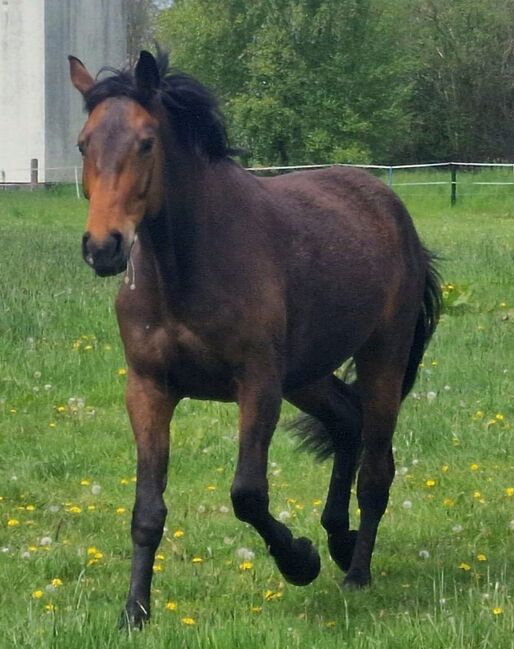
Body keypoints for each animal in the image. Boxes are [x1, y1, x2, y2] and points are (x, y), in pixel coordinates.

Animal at [68, 50, 440, 628]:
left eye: (146, 142)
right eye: (85, 143)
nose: (103, 248)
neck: (185, 268)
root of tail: (393, 211)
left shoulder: (258, 385)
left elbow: (247, 494)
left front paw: (300, 561)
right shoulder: (148, 389)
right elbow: (147, 509)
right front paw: (135, 610)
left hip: (382, 357)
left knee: (377, 470)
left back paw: (355, 571)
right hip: (307, 374)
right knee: (346, 423)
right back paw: (339, 539)